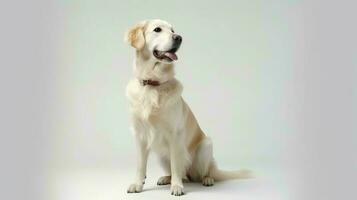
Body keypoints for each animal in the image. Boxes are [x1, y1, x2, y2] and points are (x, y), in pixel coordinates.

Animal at [125, 19, 250, 195]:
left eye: (173, 30)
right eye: (157, 29)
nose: (179, 38)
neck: (153, 84)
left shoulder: (175, 134)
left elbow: (176, 165)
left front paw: (176, 187)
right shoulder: (140, 134)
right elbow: (140, 165)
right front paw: (137, 183)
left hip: (206, 146)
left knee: (201, 172)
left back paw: (206, 179)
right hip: (162, 155)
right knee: (182, 174)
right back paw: (166, 178)